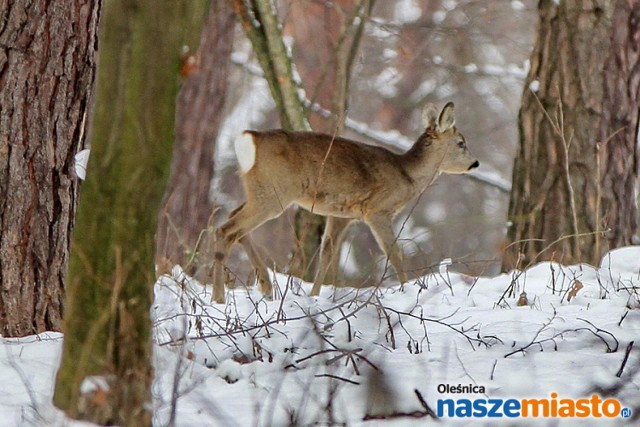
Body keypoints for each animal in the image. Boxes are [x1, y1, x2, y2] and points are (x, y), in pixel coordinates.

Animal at [212, 103, 478, 304]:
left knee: (233, 222)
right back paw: (219, 298)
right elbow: (394, 253)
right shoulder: (377, 210)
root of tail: (250, 139)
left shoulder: (341, 215)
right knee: (226, 229)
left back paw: (266, 286)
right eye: (461, 142)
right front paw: (409, 291)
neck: (407, 174)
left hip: (260, 191)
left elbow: (327, 255)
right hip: (275, 193)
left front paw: (314, 296)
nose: (474, 163)